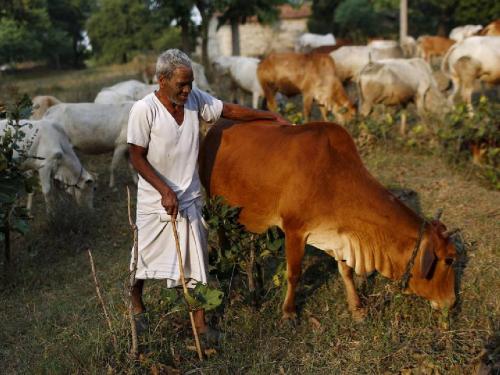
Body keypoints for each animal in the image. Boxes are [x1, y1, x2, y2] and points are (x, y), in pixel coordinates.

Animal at [201, 122, 458, 322]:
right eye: (449, 260)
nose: (452, 302)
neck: (333, 179)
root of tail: (216, 126)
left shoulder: (340, 236)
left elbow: (346, 271)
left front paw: (356, 307)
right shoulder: (295, 230)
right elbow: (294, 274)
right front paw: (289, 312)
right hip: (212, 201)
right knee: (221, 231)